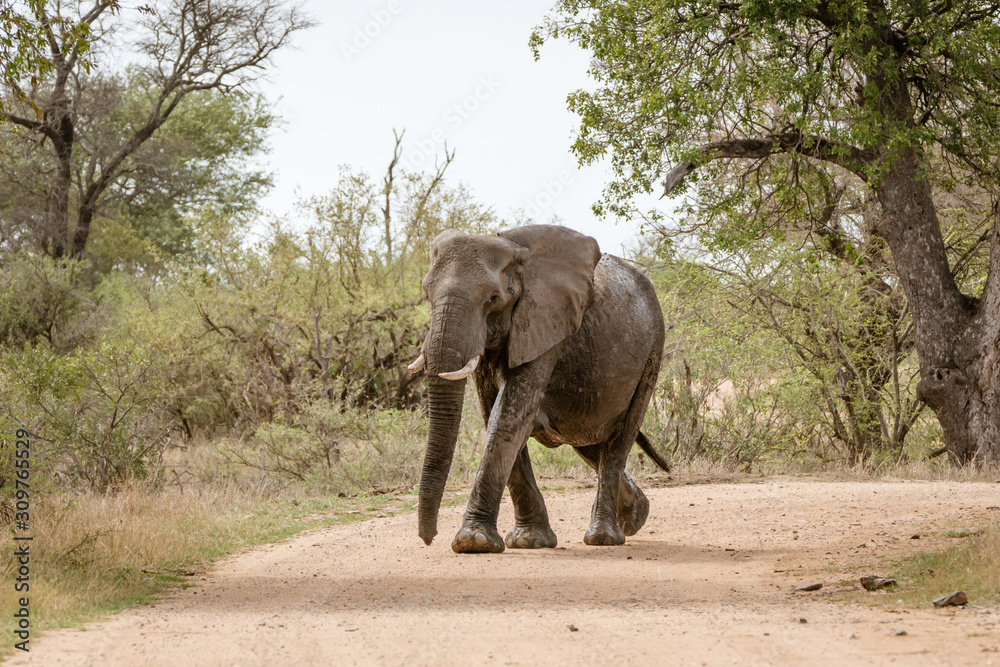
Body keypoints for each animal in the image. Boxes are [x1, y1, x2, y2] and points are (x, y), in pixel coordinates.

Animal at [410, 223, 669, 554]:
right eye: (427, 293)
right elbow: (496, 414)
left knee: (618, 442)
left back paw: (604, 537)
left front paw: (473, 542)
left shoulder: (545, 324)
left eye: (494, 297)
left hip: (653, 352)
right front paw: (529, 541)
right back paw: (635, 517)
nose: (428, 539)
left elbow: (509, 416)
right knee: (589, 443)